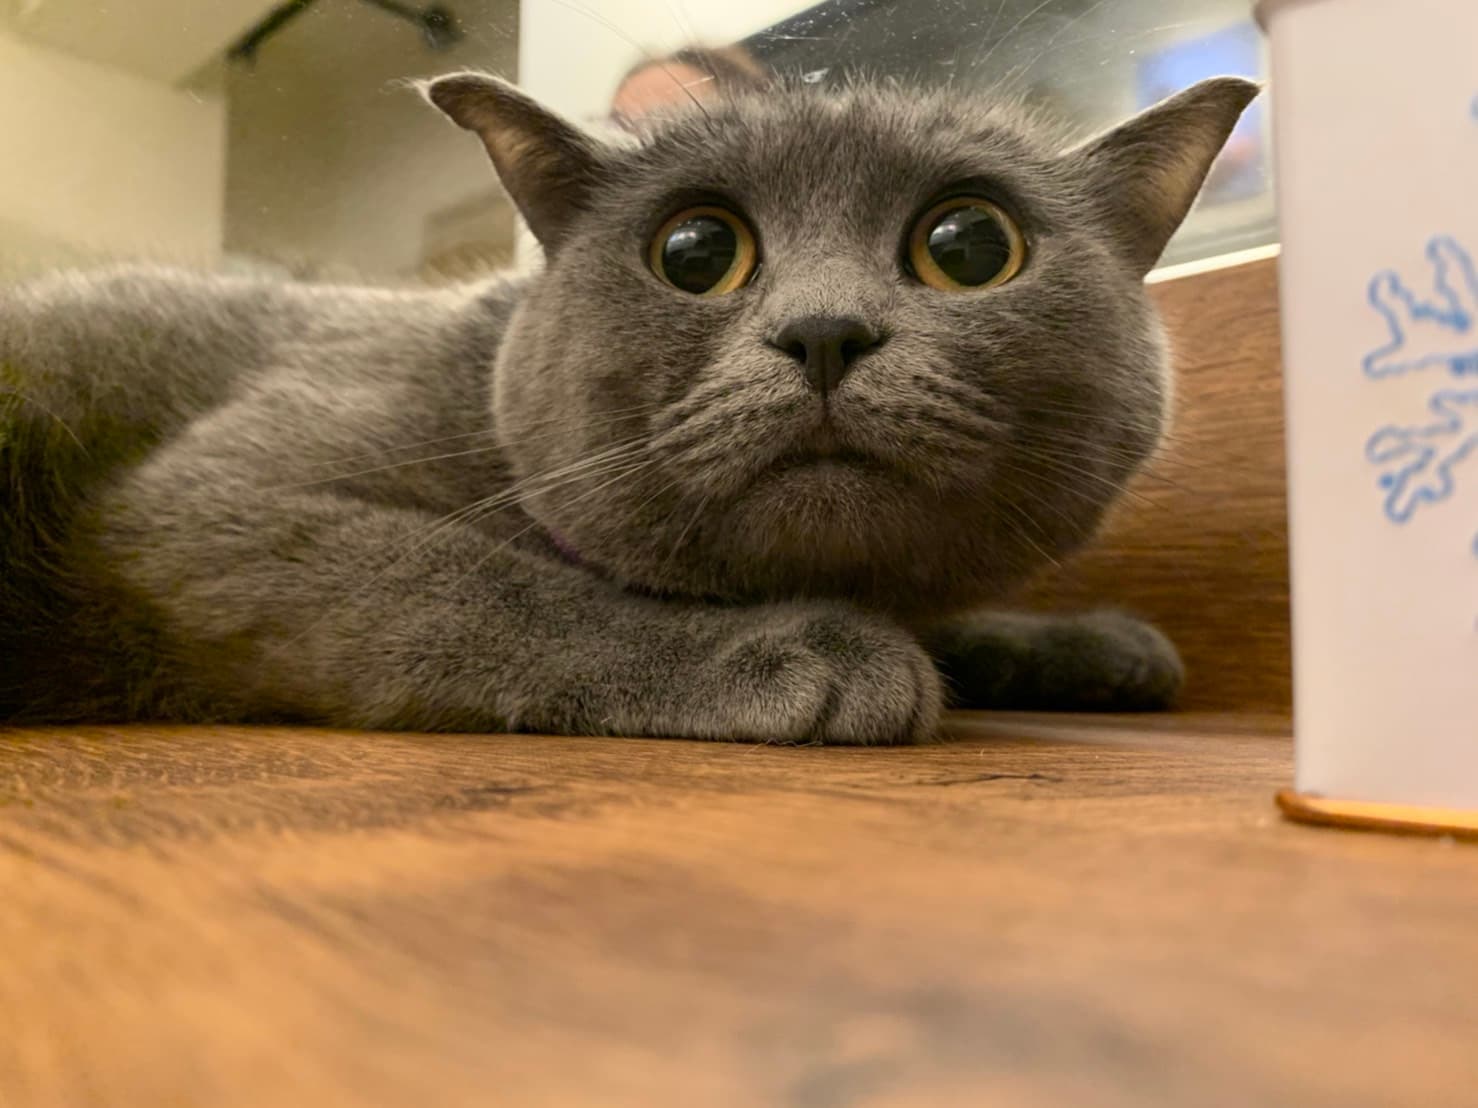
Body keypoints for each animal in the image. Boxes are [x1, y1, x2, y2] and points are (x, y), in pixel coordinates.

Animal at [0, 72, 1258, 743]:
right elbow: (489, 583)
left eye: (968, 246)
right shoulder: (216, 504)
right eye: (694, 251)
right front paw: (801, 649)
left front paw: (1087, 644)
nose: (823, 330)